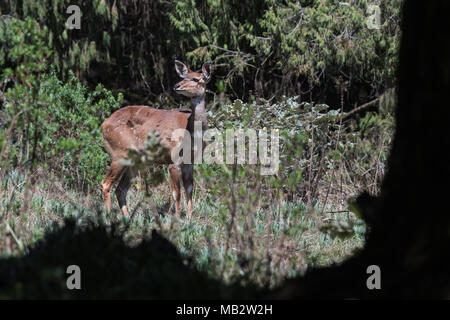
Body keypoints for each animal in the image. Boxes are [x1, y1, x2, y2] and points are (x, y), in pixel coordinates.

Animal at [102, 60, 211, 218]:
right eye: (184, 77)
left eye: (196, 79)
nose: (176, 86)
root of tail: (103, 124)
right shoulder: (171, 159)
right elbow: (176, 193)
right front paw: (178, 218)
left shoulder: (190, 161)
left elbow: (189, 190)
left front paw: (190, 218)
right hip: (119, 153)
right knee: (106, 183)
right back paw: (109, 216)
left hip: (133, 161)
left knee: (120, 190)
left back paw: (127, 218)